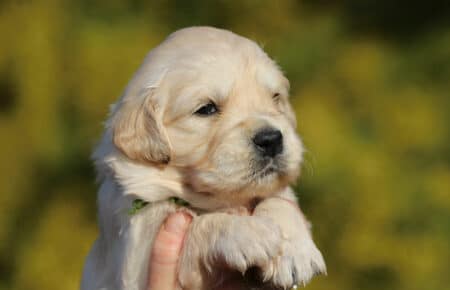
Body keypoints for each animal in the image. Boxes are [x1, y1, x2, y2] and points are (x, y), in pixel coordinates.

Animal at [81, 26, 326, 288]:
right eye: (206, 109)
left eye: (275, 97)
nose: (271, 139)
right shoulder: (137, 248)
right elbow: (199, 225)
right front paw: (249, 233)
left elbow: (278, 200)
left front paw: (294, 251)